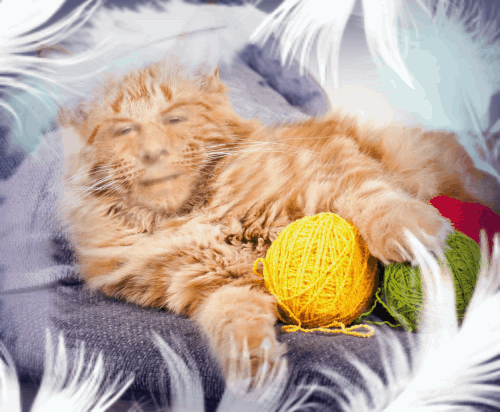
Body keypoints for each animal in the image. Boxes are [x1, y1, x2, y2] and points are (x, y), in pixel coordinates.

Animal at [58, 55, 498, 379]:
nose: (152, 153)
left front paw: (414, 232)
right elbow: (232, 316)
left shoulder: (335, 166)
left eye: (174, 118)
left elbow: (374, 199)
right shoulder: (210, 284)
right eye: (123, 130)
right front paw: (250, 366)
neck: (195, 215)